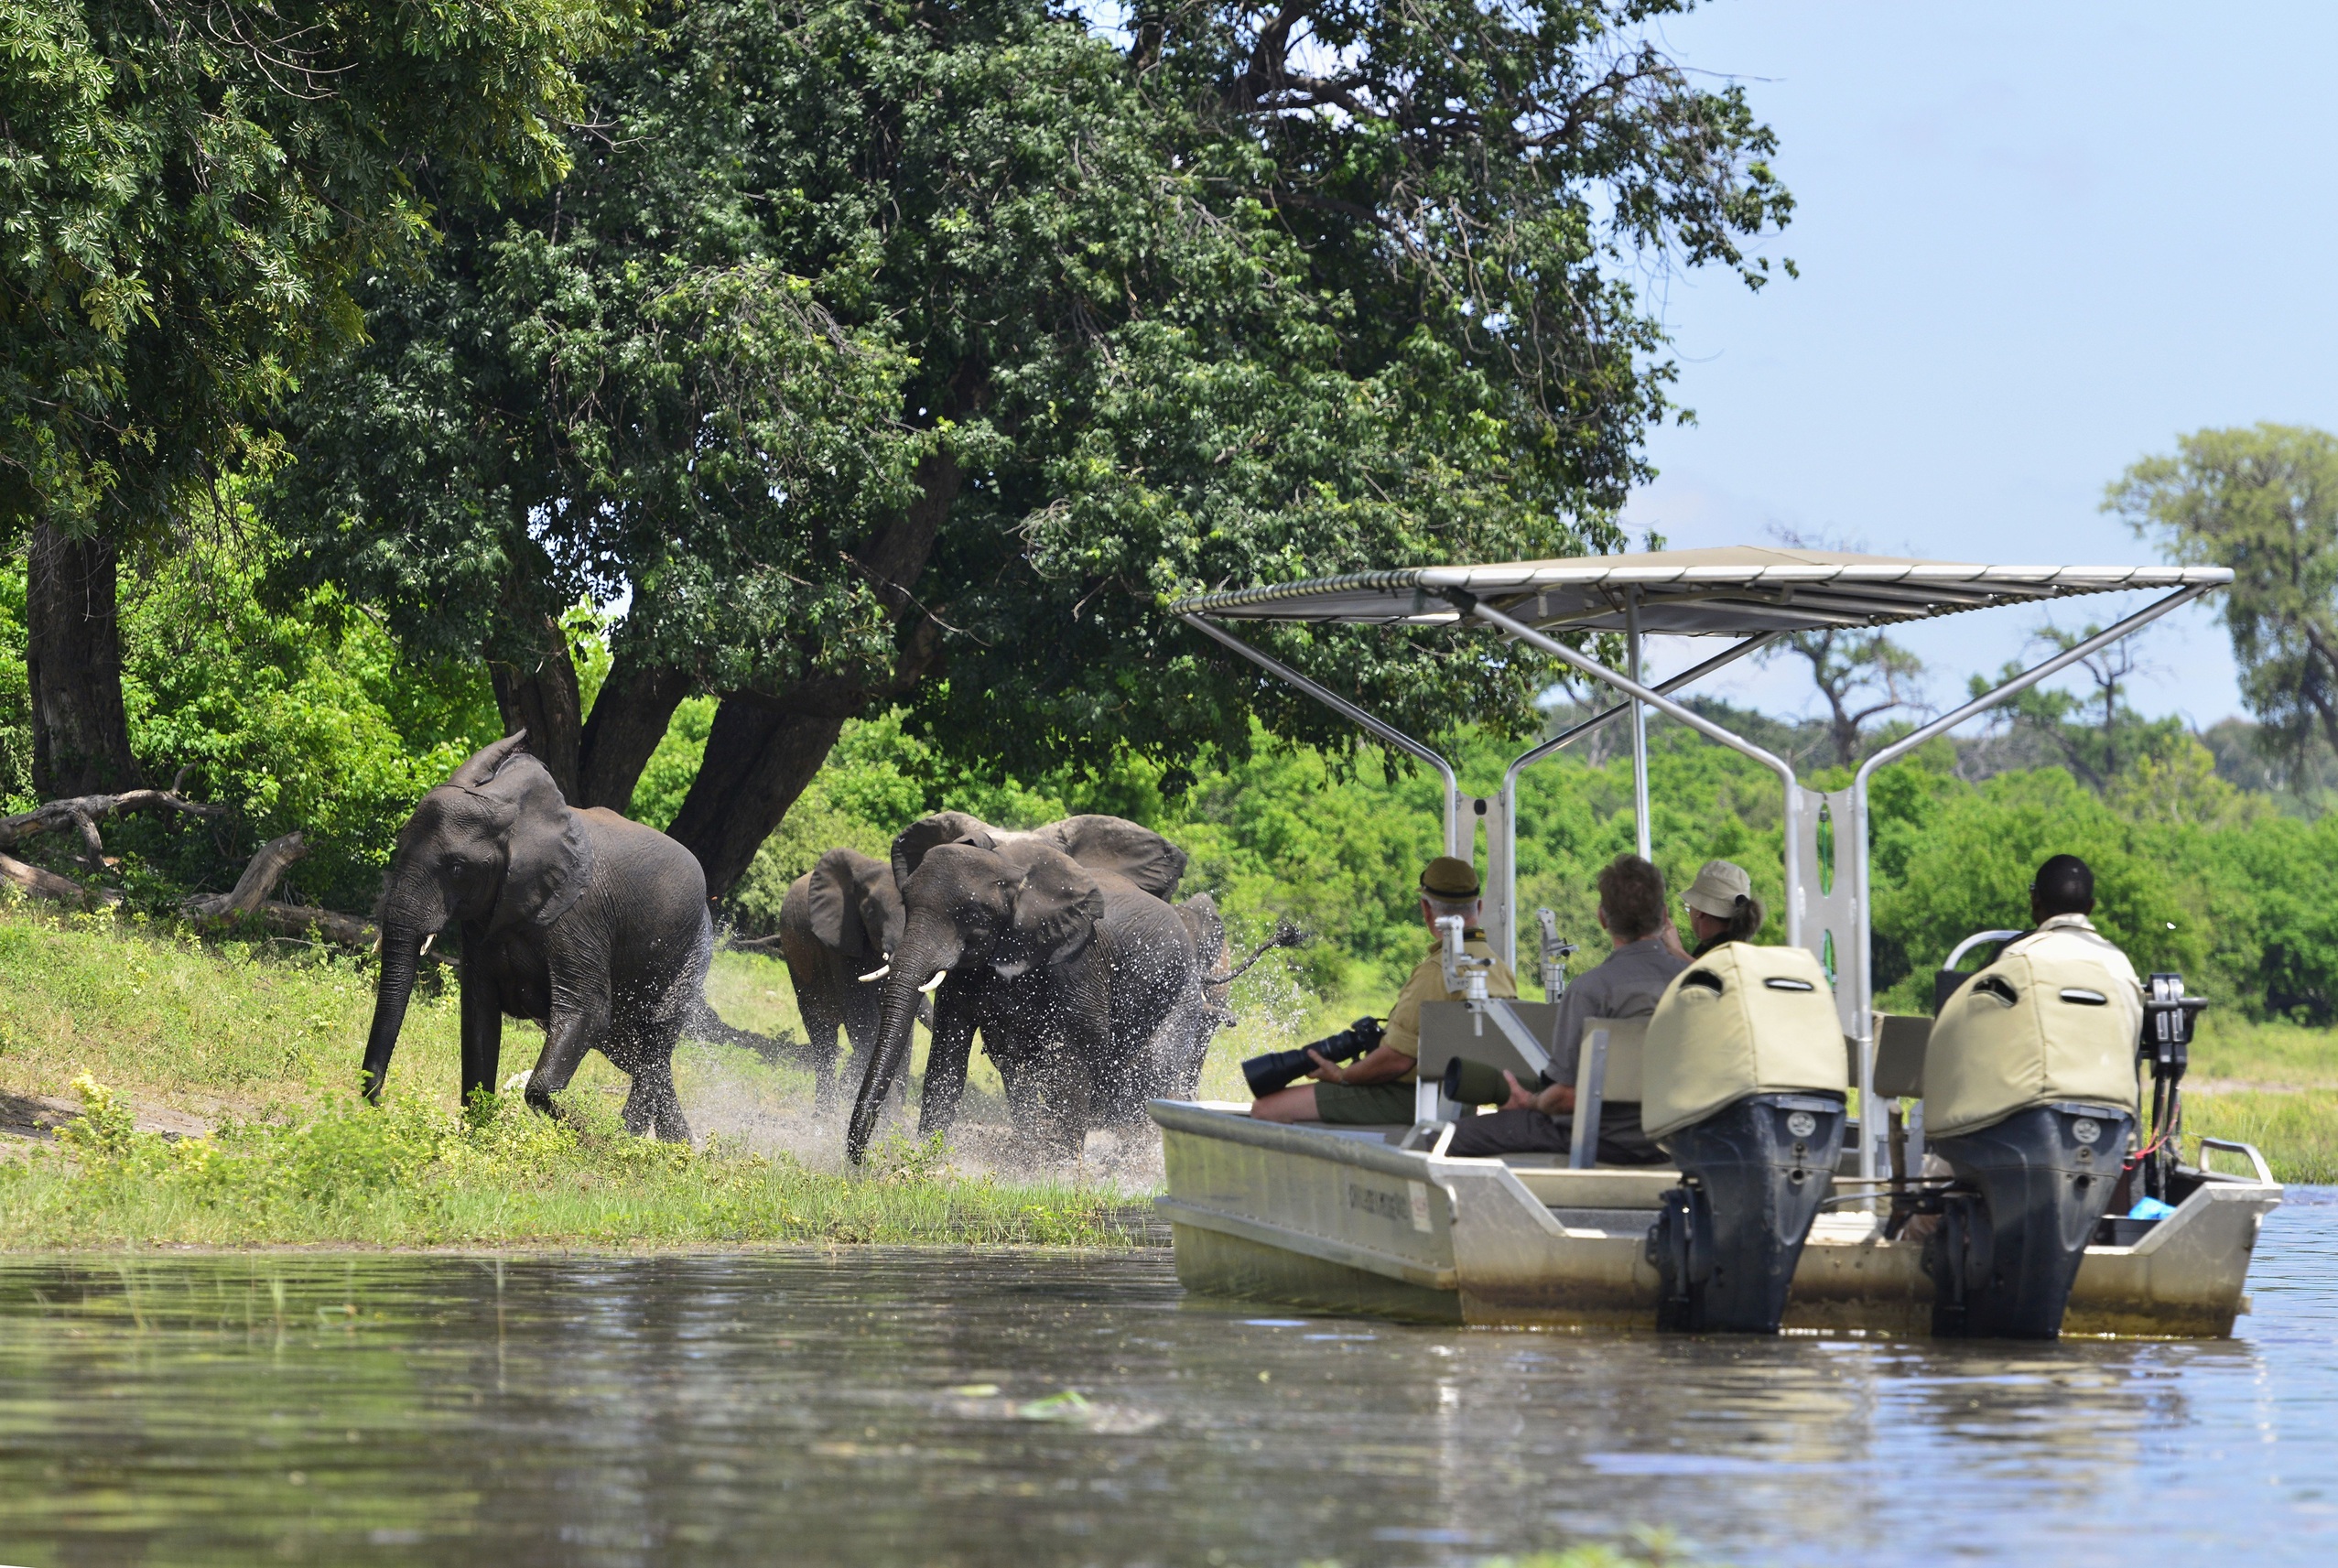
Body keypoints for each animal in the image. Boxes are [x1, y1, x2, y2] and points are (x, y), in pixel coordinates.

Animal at [358, 732, 712, 1141]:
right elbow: (479, 1015)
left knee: (654, 1040)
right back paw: (683, 1149)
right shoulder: (482, 919)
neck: (516, 818)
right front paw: (479, 1139)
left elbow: (588, 1013)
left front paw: (584, 1134)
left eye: (457, 868)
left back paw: (630, 1139)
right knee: (637, 1054)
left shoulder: (579, 917)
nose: (380, 1104)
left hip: (692, 952)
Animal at [843, 813, 1218, 1163]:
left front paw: (1058, 1172)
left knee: (1151, 1073)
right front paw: (926, 1161)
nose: (861, 1160)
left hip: (1180, 990)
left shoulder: (1078, 962)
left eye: (976, 916)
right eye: (906, 902)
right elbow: (947, 1058)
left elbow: (1072, 1061)